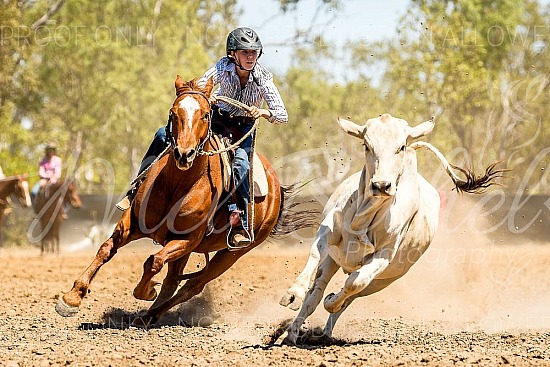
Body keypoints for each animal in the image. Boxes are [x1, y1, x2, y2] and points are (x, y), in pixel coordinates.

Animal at [55, 76, 314, 326]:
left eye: (206, 114)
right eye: (173, 112)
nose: (184, 153)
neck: (177, 184)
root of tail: (277, 188)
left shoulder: (187, 239)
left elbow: (154, 261)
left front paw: (146, 290)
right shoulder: (134, 222)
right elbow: (106, 249)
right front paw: (71, 298)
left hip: (233, 253)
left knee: (192, 285)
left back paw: (151, 313)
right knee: (172, 281)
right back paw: (147, 315)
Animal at [282, 113, 502, 344]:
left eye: (401, 146)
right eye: (367, 145)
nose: (381, 185)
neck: (365, 217)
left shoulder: (383, 257)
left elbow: (353, 284)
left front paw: (332, 300)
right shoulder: (329, 231)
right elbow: (316, 253)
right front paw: (293, 294)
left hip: (383, 280)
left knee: (350, 294)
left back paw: (325, 326)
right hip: (334, 261)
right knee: (315, 293)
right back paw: (294, 332)